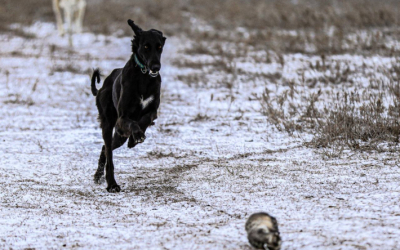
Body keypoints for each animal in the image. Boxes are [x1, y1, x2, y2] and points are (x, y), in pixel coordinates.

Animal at [90, 19, 166, 192]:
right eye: (146, 46)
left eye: (159, 47)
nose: (156, 67)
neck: (144, 77)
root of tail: (102, 86)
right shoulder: (122, 118)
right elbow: (132, 122)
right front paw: (137, 135)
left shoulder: (153, 111)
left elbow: (145, 119)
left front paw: (135, 138)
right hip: (107, 123)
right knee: (109, 153)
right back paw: (111, 184)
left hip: (119, 137)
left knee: (106, 148)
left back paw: (99, 176)